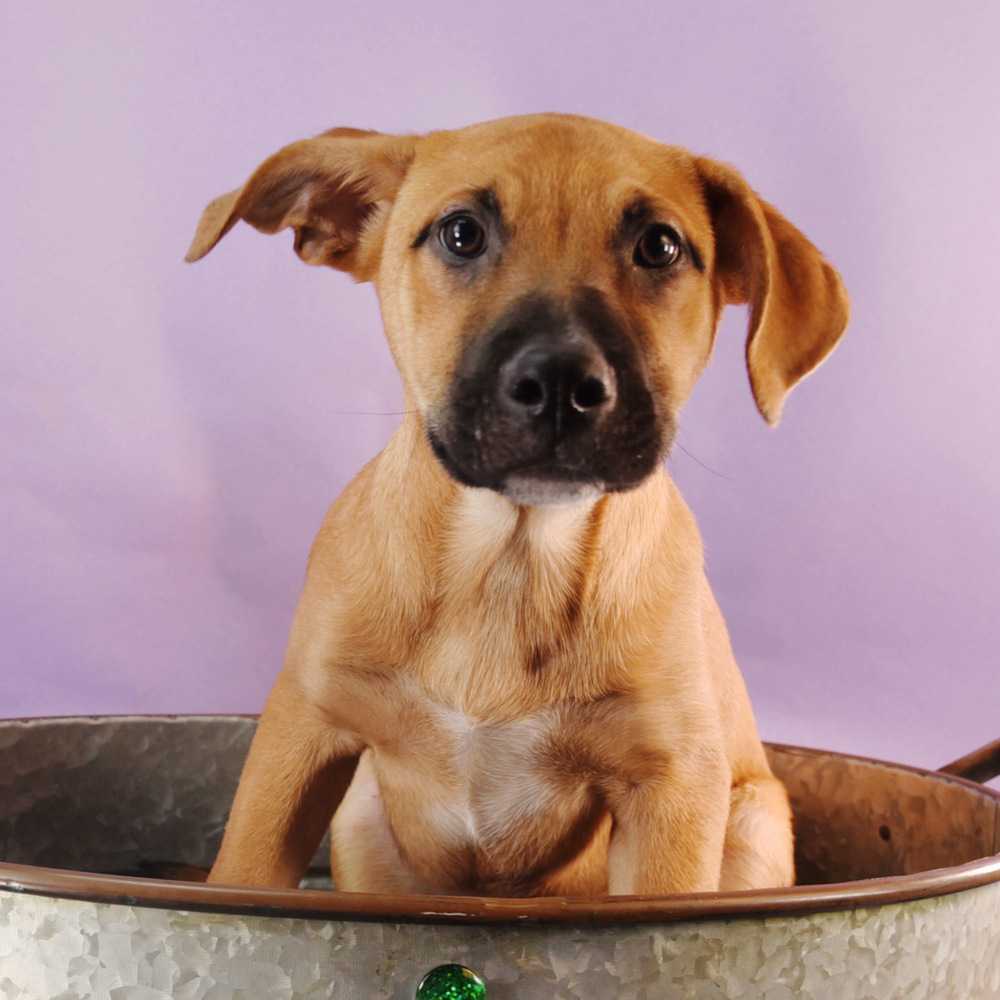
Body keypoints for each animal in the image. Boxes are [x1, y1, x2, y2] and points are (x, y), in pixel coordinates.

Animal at [186, 113, 844, 896]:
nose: (560, 383)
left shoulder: (674, 790)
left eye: (659, 246)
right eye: (461, 233)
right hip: (359, 815)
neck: (510, 559)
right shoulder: (300, 731)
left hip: (755, 817)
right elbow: (243, 873)